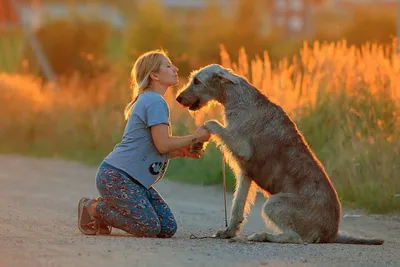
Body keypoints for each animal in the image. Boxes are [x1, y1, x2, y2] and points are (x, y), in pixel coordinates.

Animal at [176, 63, 384, 246]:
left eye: (196, 81)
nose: (178, 98)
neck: (235, 97)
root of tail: (331, 234)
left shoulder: (243, 148)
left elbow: (211, 123)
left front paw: (201, 136)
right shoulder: (246, 174)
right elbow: (238, 206)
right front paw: (228, 232)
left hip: (274, 203)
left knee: (296, 238)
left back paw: (263, 236)